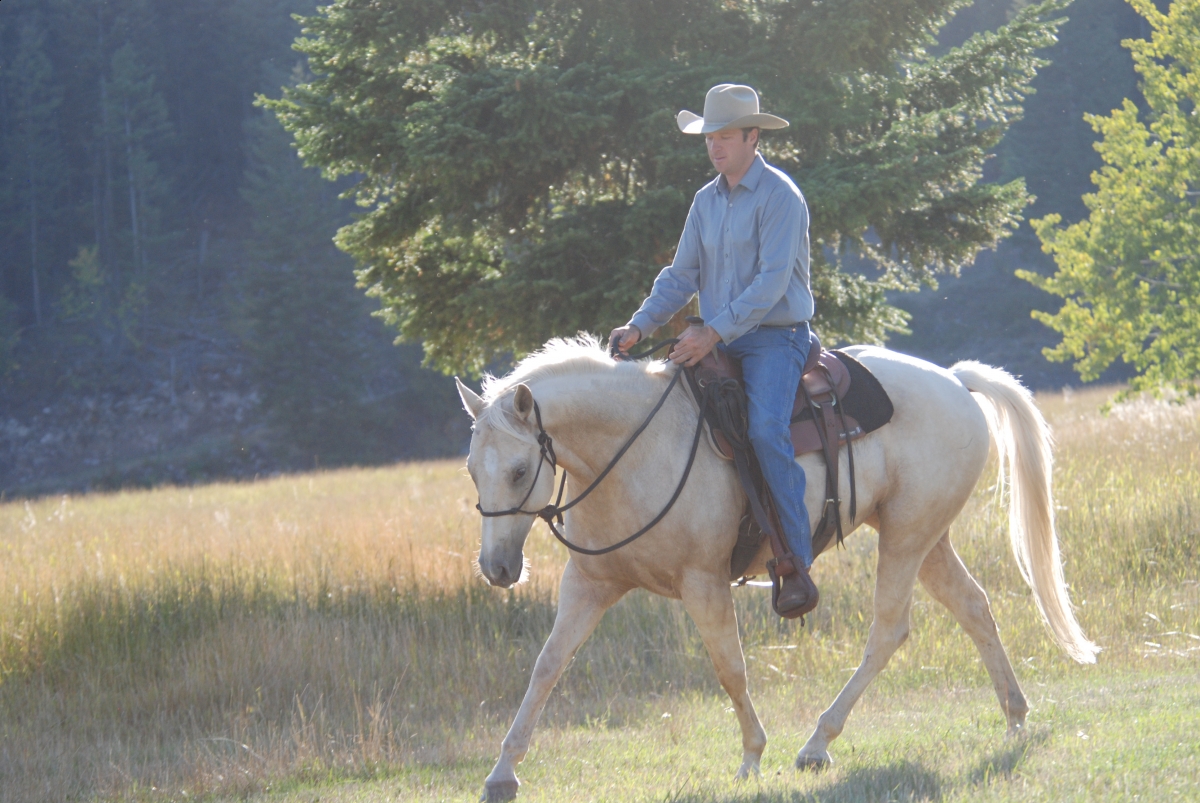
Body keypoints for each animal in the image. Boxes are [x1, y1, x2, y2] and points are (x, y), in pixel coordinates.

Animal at [454, 336, 1098, 802]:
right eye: (472, 470)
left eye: (518, 470)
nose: (497, 568)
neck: (633, 451)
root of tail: (956, 380)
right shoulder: (589, 585)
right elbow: (546, 668)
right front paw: (502, 774)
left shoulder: (703, 582)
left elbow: (731, 670)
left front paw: (750, 758)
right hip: (925, 537)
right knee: (974, 608)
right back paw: (1014, 717)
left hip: (907, 538)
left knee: (889, 630)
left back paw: (817, 743)